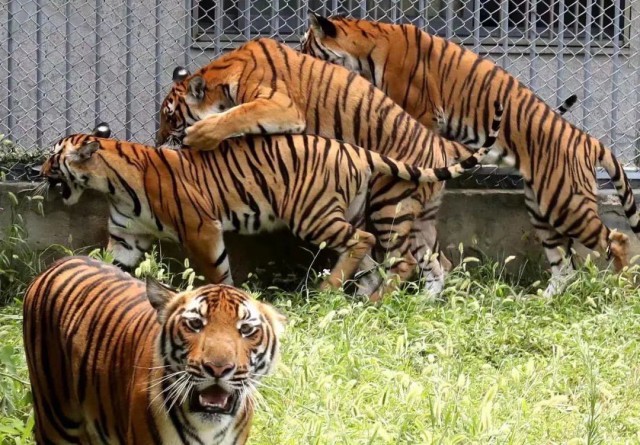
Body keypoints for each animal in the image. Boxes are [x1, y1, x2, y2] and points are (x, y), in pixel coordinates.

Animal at [23, 255, 285, 444]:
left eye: (246, 329)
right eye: (195, 324)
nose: (218, 368)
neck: (208, 429)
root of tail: (56, 263)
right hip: (55, 421)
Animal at [42, 124, 491, 300]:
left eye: (52, 158)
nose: (37, 171)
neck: (111, 185)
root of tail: (354, 148)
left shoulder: (201, 229)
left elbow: (217, 270)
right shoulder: (127, 238)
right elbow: (113, 266)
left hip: (316, 215)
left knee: (375, 248)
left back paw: (334, 292)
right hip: (355, 215)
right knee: (424, 261)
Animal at [156, 38, 504, 297]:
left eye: (170, 117)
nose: (159, 141)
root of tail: (440, 144)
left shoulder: (280, 104)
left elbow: (236, 116)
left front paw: (199, 135)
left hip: (388, 204)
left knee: (403, 260)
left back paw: (375, 302)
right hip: (420, 218)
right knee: (438, 263)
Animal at [301, 14, 640, 296]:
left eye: (306, 46)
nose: (299, 56)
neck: (366, 47)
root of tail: (589, 141)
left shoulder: (417, 110)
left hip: (567, 203)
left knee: (617, 241)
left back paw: (622, 293)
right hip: (543, 208)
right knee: (564, 266)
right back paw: (541, 300)